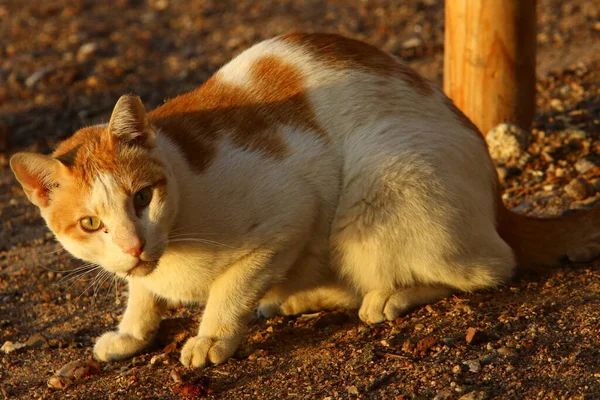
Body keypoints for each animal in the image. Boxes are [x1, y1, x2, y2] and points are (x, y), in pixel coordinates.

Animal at [9, 32, 600, 368]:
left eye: (142, 197)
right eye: (91, 224)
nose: (133, 247)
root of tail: (501, 203)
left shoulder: (290, 213)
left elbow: (230, 286)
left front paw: (212, 336)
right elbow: (142, 293)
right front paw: (132, 333)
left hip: (381, 182)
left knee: (490, 266)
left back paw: (391, 296)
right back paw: (301, 297)